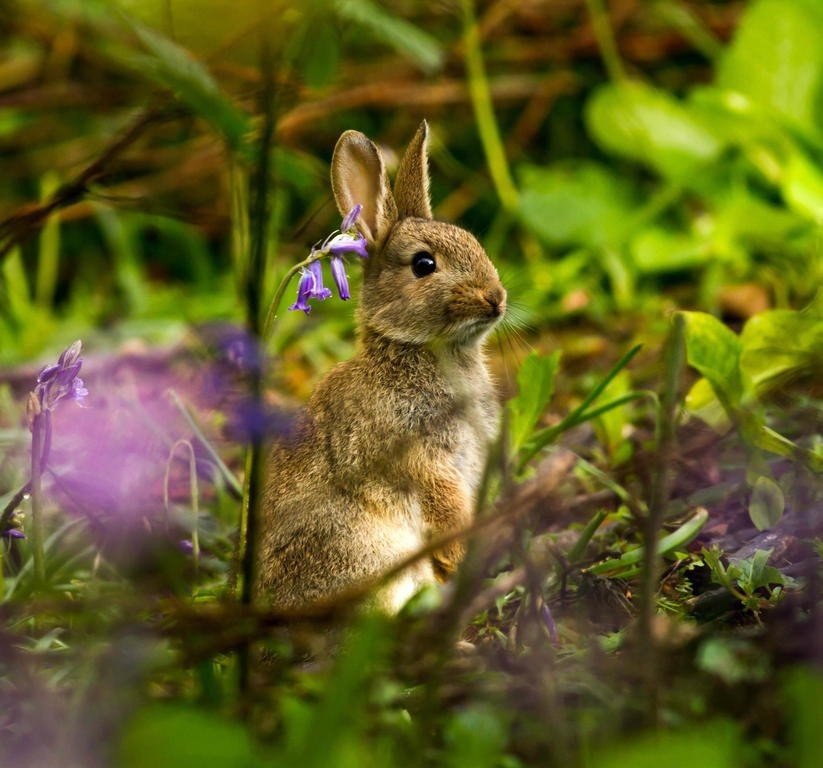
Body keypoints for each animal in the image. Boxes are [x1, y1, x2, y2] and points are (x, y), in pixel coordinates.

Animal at [258, 120, 506, 612]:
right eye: (424, 264)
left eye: (475, 243)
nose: (495, 298)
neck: (415, 350)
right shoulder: (420, 457)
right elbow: (446, 508)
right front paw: (462, 556)